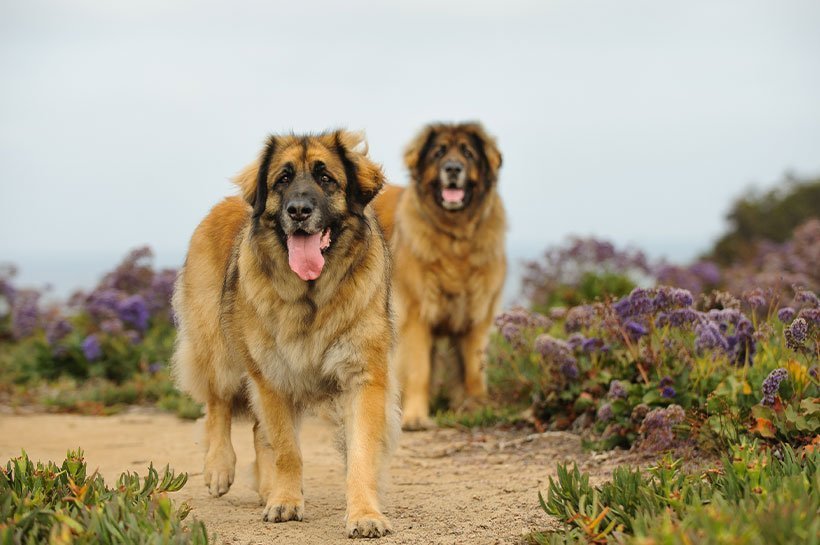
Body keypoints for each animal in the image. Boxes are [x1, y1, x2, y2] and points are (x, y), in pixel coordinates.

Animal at [174, 130, 400, 536]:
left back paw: (266, 487)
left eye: (326, 178)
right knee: (218, 404)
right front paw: (286, 502)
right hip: (218, 350)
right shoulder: (272, 376)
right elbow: (286, 449)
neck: (311, 295)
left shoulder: (363, 378)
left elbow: (360, 453)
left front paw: (364, 514)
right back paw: (220, 468)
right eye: (282, 179)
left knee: (256, 430)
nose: (298, 211)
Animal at [374, 120, 502, 430]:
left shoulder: (477, 315)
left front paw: (476, 408)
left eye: (468, 153)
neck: (454, 241)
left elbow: (474, 370)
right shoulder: (416, 316)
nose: (453, 169)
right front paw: (416, 416)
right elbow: (419, 371)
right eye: (438, 152)